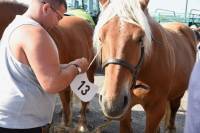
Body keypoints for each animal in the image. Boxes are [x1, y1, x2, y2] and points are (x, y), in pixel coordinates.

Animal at [94, 0, 198, 132]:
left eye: (140, 38)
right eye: (100, 37)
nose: (112, 103)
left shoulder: (156, 110)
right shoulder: (126, 111)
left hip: (178, 93)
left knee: (174, 109)